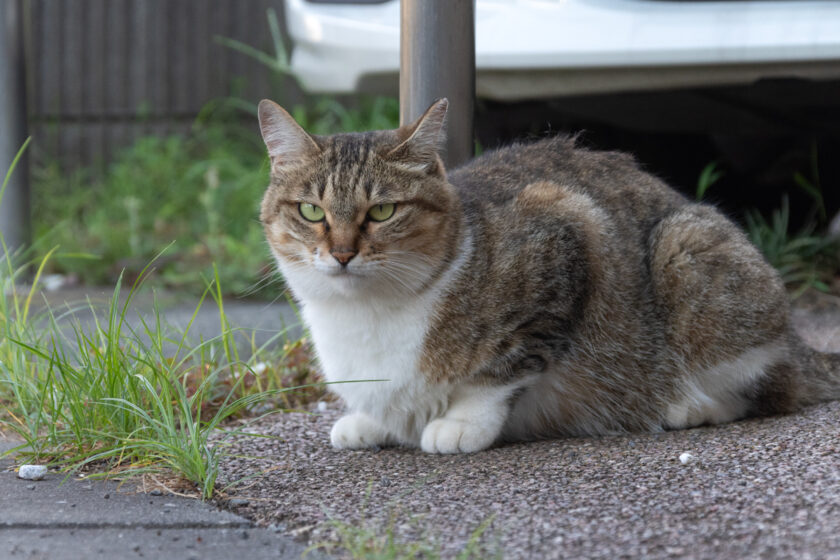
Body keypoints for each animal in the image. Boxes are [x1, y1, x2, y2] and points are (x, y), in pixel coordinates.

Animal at [256, 97, 840, 456]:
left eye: (381, 211)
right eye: (311, 211)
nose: (342, 253)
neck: (367, 314)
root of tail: (800, 343)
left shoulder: (565, 230)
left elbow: (502, 370)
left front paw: (462, 423)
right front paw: (373, 421)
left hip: (686, 255)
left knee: (766, 388)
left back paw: (687, 405)